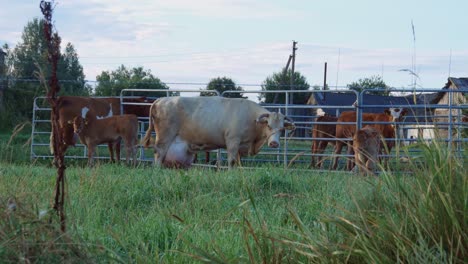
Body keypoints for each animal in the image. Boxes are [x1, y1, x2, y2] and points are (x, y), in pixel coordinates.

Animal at [141, 96, 294, 168]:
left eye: (282, 129)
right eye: (268, 125)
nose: (274, 144)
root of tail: (160, 99)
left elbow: (238, 161)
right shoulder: (232, 140)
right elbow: (232, 161)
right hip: (165, 137)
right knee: (159, 154)